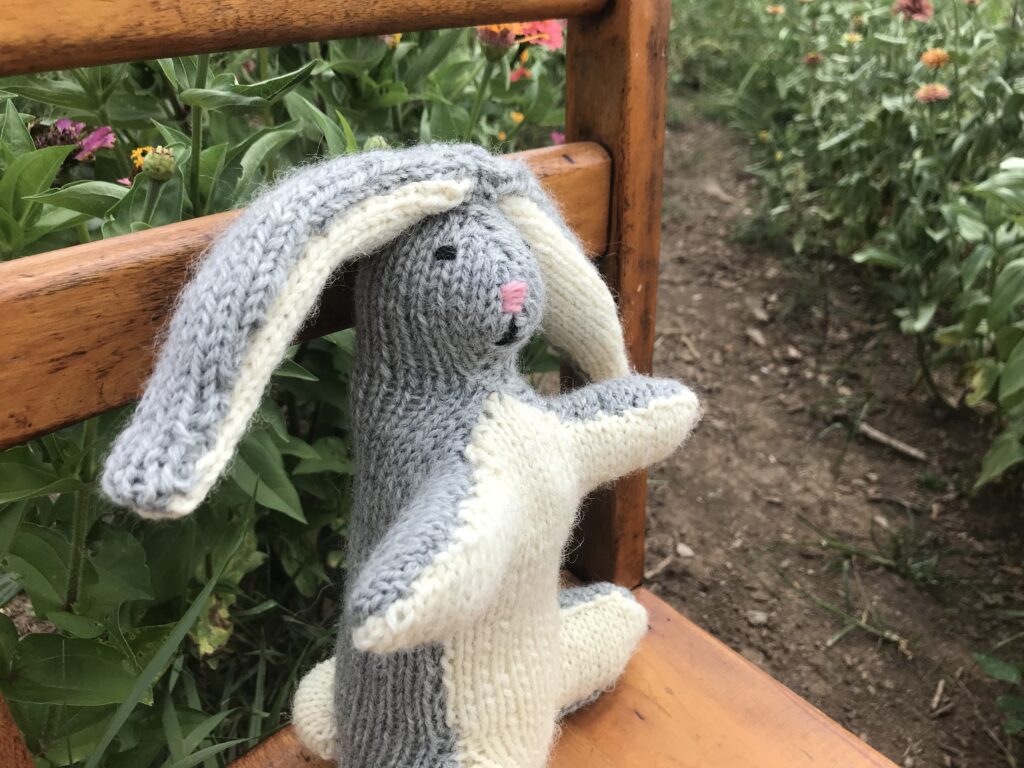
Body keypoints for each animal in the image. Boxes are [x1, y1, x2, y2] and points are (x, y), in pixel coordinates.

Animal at [99, 145, 700, 768]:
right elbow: (435, 554)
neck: (475, 390)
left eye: (521, 245)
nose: (514, 295)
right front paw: (379, 607)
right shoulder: (461, 473)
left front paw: (674, 400)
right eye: (445, 251)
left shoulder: (564, 431)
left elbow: (628, 413)